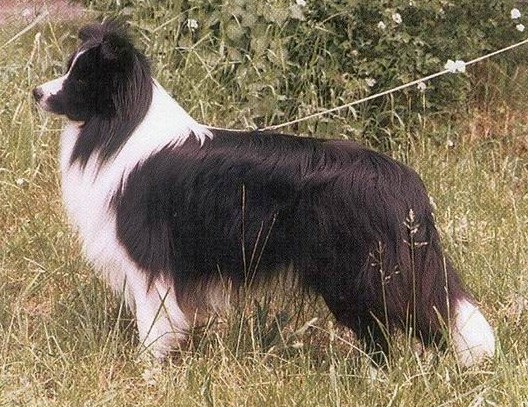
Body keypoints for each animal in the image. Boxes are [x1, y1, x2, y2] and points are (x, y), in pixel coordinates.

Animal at [33, 20, 495, 366]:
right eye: (68, 68)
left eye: (80, 78)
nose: (36, 91)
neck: (121, 125)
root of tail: (403, 181)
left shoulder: (147, 258)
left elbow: (155, 322)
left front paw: (146, 370)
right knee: (380, 333)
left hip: (364, 273)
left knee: (418, 321)